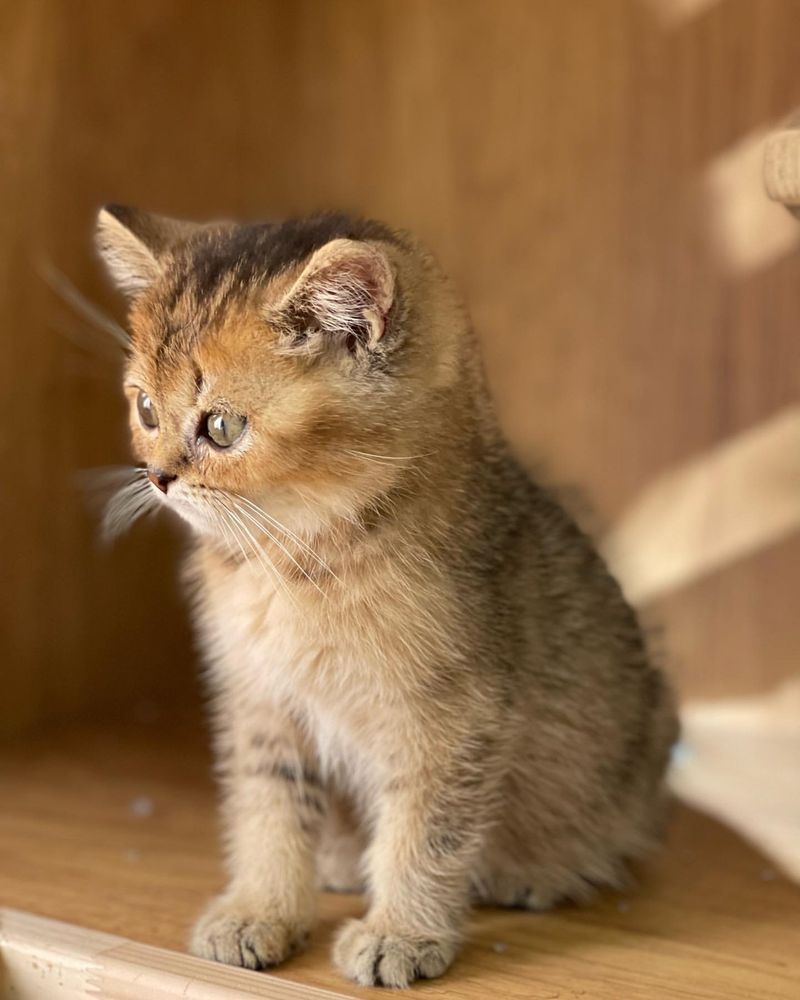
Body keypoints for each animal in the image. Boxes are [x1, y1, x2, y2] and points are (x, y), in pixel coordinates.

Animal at [97, 207, 680, 988]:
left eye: (222, 426)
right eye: (146, 410)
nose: (158, 478)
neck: (293, 568)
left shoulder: (454, 718)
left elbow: (425, 833)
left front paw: (401, 933)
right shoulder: (260, 698)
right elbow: (267, 808)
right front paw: (259, 911)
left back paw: (540, 868)